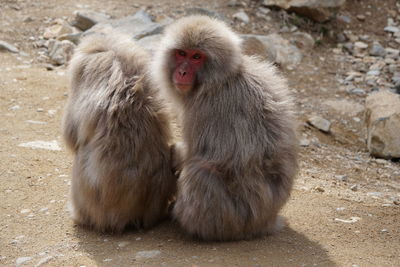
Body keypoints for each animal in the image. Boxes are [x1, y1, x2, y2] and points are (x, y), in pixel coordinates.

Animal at [152, 16, 298, 243]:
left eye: (197, 57)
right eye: (181, 53)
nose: (182, 72)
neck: (223, 79)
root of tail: (268, 220)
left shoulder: (204, 108)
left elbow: (196, 154)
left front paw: (177, 154)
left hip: (238, 217)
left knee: (200, 172)